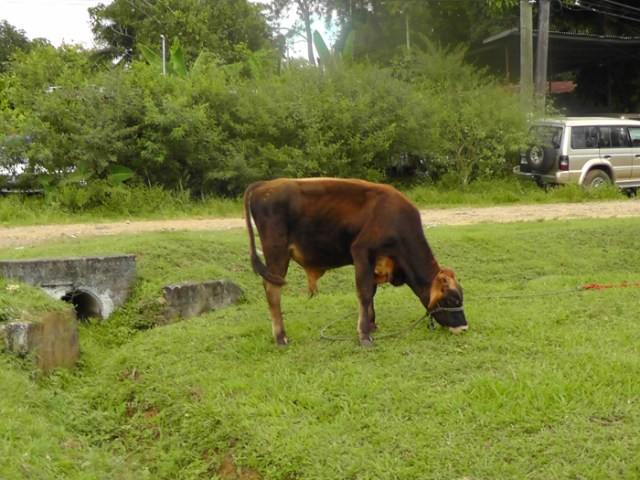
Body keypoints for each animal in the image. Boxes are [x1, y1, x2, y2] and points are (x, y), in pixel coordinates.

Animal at [243, 178, 467, 347]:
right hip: (276, 253)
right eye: (451, 300)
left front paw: (372, 324)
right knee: (272, 290)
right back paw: (281, 338)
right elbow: (365, 293)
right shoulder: (362, 252)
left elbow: (372, 292)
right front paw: (364, 335)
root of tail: (265, 185)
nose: (463, 327)